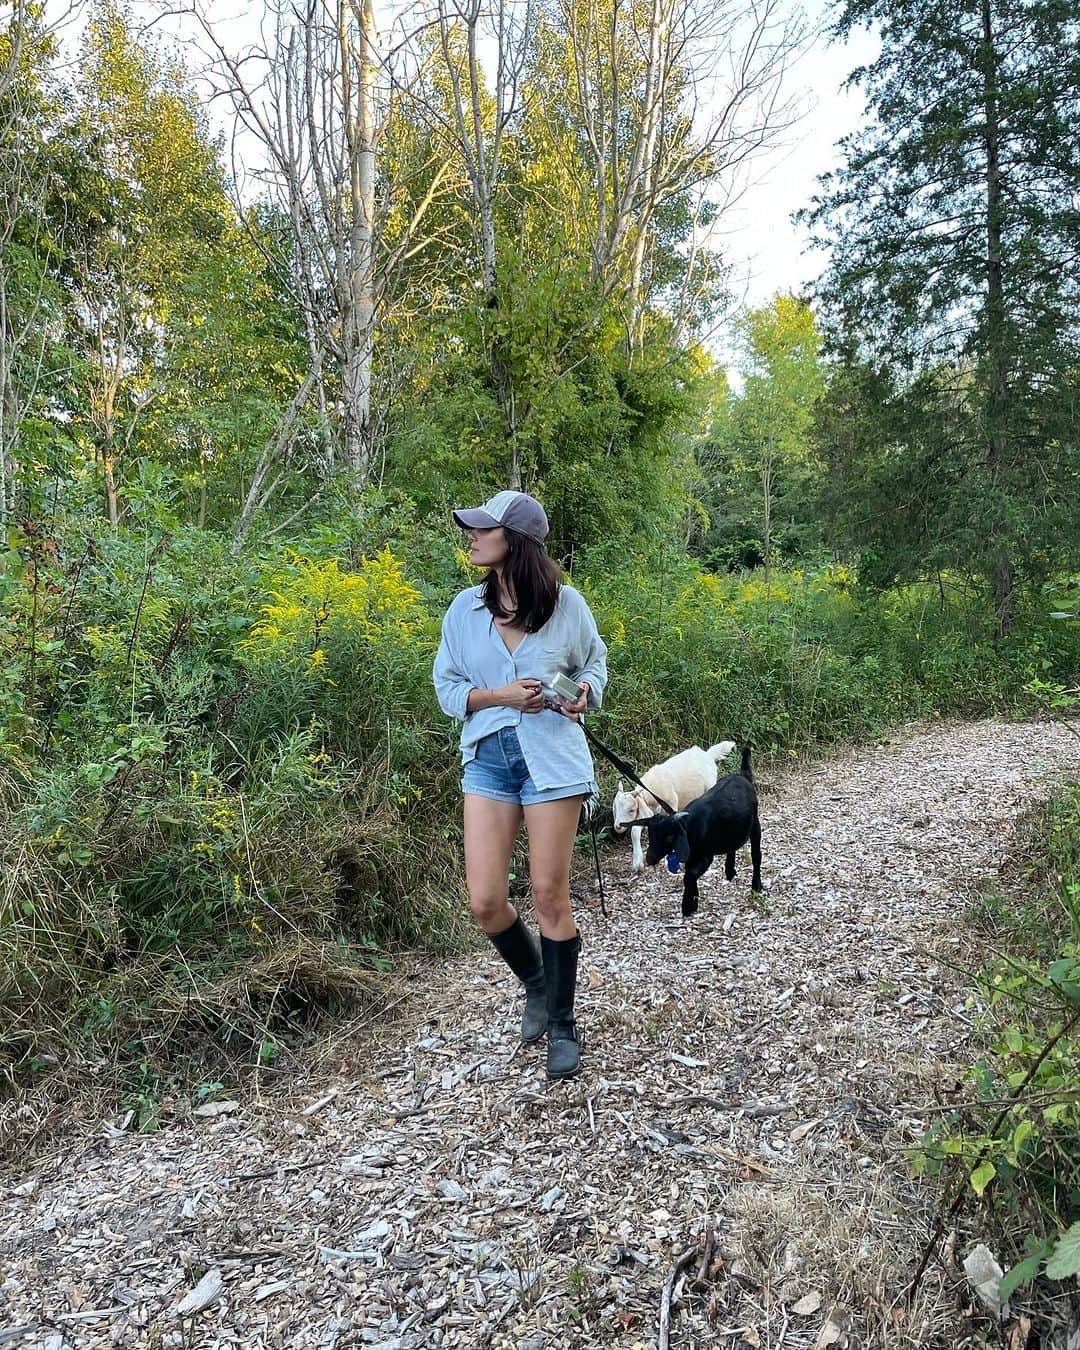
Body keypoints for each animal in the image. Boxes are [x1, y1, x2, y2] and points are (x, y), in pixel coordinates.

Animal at [637, 745, 761, 923]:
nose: (650, 859)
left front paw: (688, 906)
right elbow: (690, 874)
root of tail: (742, 775)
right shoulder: (691, 854)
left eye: (669, 837)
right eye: (650, 835)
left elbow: (689, 875)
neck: (690, 826)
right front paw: (693, 901)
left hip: (755, 824)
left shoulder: (705, 855)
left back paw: (756, 886)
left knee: (756, 855)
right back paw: (729, 871)